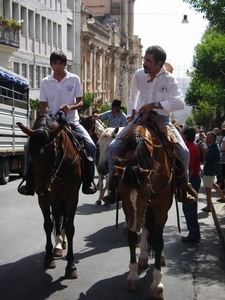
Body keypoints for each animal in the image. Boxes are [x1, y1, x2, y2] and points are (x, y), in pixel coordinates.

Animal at [16, 115, 82, 278]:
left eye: (52, 153)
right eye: (30, 154)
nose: (42, 189)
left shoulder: (72, 198)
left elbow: (70, 227)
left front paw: (71, 266)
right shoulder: (44, 199)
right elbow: (48, 225)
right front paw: (48, 258)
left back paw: (62, 242)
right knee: (57, 219)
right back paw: (58, 245)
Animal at [114, 122, 174, 300]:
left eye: (145, 192)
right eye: (122, 193)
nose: (135, 225)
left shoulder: (161, 207)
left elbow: (159, 241)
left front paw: (157, 284)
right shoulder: (129, 210)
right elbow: (133, 239)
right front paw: (133, 277)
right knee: (147, 227)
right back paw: (143, 256)